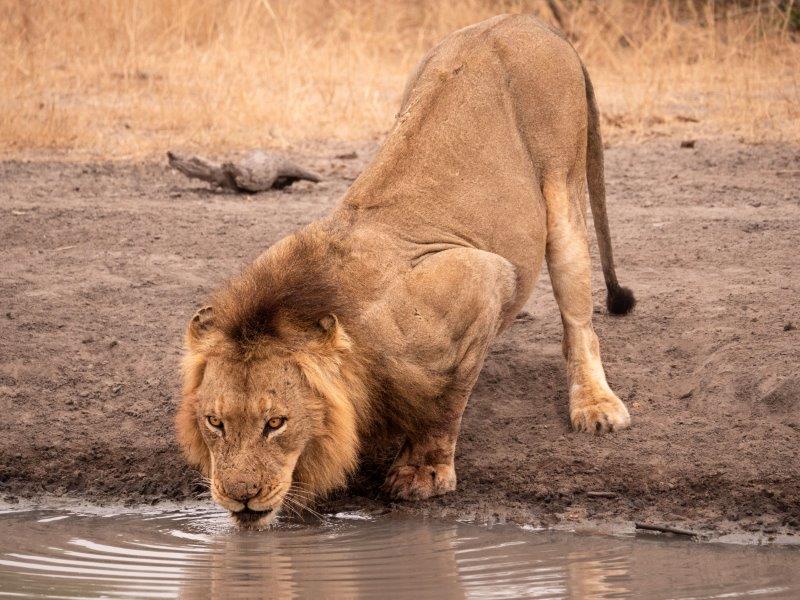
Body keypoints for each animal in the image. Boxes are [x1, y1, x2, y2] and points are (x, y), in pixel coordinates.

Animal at [177, 14, 636, 528]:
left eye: (275, 423)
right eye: (215, 422)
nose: (240, 497)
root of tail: (526, 20)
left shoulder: (482, 279)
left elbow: (444, 402)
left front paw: (423, 472)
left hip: (562, 186)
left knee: (579, 320)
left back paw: (595, 405)